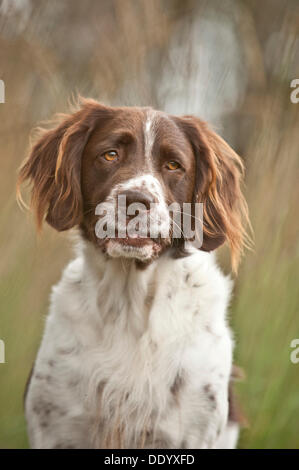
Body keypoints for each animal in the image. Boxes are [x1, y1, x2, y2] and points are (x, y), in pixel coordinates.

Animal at [17, 98, 250, 448]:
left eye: (173, 165)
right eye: (110, 154)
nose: (135, 201)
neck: (130, 304)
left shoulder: (188, 434)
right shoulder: (56, 429)